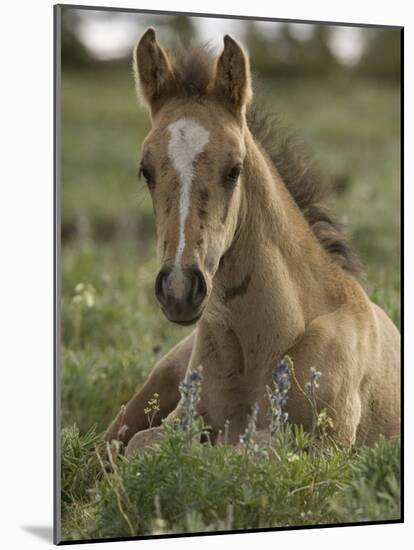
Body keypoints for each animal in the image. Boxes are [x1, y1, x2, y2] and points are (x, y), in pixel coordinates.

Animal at [105, 28, 400, 454]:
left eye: (234, 169)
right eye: (146, 170)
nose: (179, 289)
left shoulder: (325, 446)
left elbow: (247, 451)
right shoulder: (181, 420)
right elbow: (143, 447)